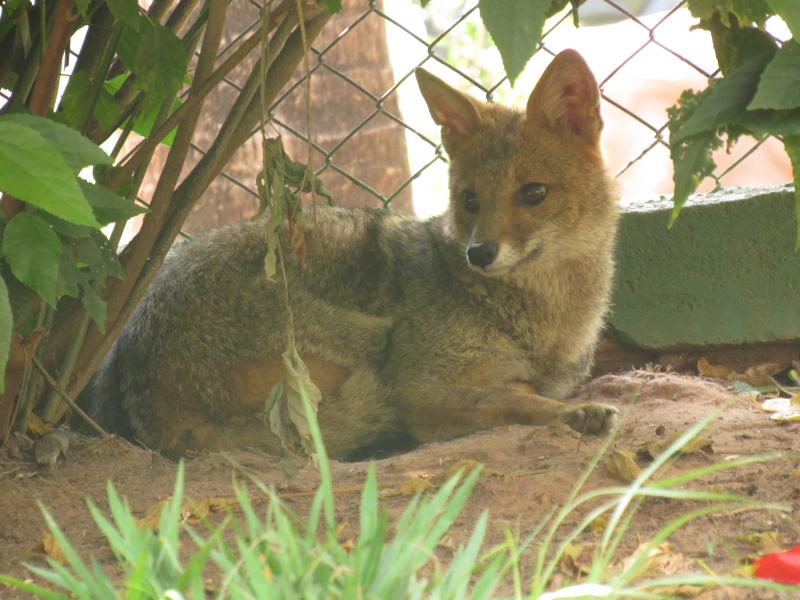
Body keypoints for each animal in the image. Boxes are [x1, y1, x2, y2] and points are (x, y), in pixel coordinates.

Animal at [92, 50, 620, 460]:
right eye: (470, 200)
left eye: (534, 193)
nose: (480, 253)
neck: (547, 322)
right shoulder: (421, 388)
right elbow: (519, 398)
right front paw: (577, 412)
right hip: (366, 337)